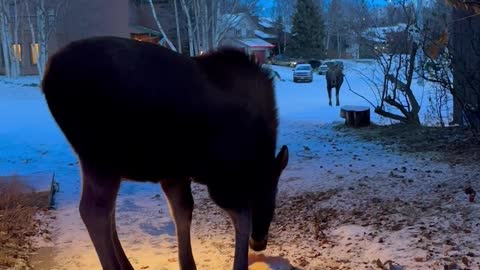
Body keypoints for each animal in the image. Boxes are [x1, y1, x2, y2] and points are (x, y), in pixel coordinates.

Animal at [41, 36, 288, 270]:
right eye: (271, 195)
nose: (260, 242)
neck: (258, 158)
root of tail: (47, 75)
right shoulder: (221, 179)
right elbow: (243, 218)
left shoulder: (175, 175)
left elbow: (183, 211)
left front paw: (188, 265)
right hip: (101, 156)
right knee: (94, 211)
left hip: (99, 162)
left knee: (107, 211)